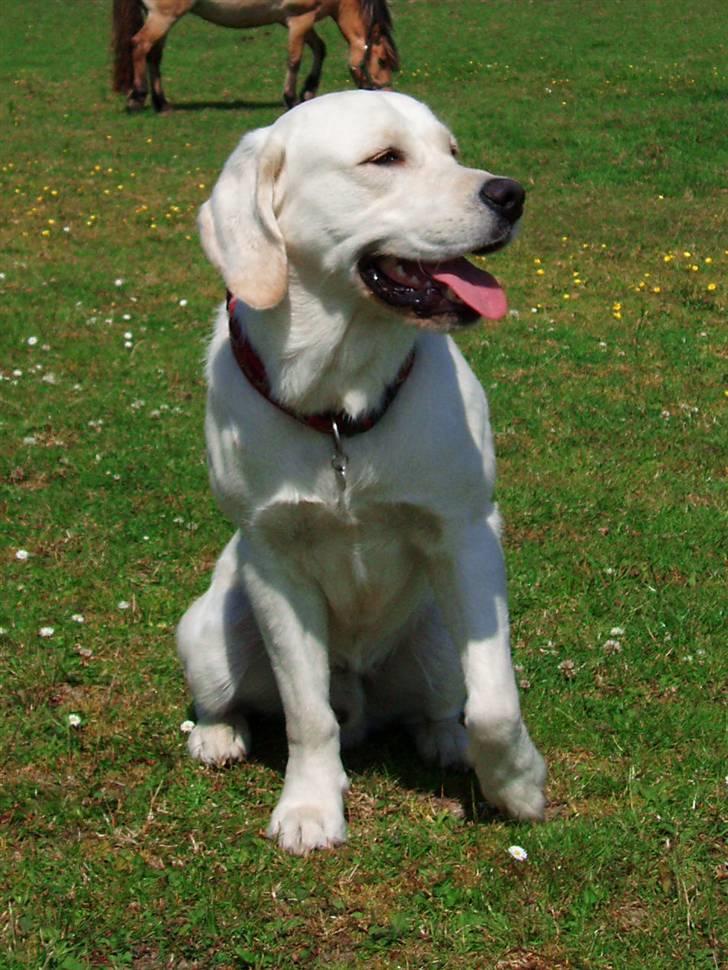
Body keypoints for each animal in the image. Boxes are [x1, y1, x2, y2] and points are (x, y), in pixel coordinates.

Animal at [111, 0, 400, 112]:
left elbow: (320, 49)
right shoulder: (299, 19)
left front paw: (308, 91)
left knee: (153, 56)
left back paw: (162, 103)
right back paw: (137, 97)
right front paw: (290, 98)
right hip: (163, 17)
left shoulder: (294, 22)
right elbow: (294, 59)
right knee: (139, 46)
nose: (387, 94)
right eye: (382, 61)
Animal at [178, 89, 544, 848]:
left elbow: (496, 700)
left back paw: (450, 743)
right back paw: (217, 735)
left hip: (435, 638)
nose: (511, 194)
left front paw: (519, 785)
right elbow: (306, 713)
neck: (339, 402)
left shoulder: (467, 533)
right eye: (384, 159)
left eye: (453, 151)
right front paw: (310, 806)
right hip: (206, 631)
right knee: (235, 698)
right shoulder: (274, 560)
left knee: (441, 706)